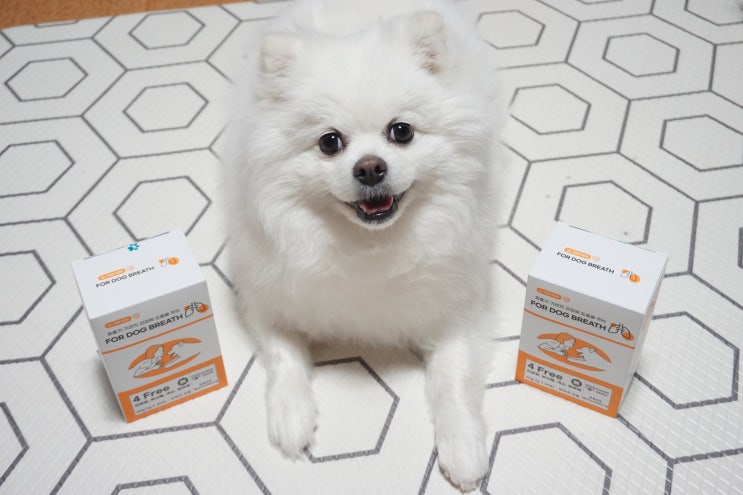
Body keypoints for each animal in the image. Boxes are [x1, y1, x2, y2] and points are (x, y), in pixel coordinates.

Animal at [224, 0, 502, 490]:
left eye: (402, 131)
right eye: (330, 142)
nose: (370, 167)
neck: (368, 245)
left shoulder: (458, 308)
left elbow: (452, 377)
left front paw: (464, 447)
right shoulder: (268, 293)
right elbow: (283, 354)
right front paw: (291, 415)